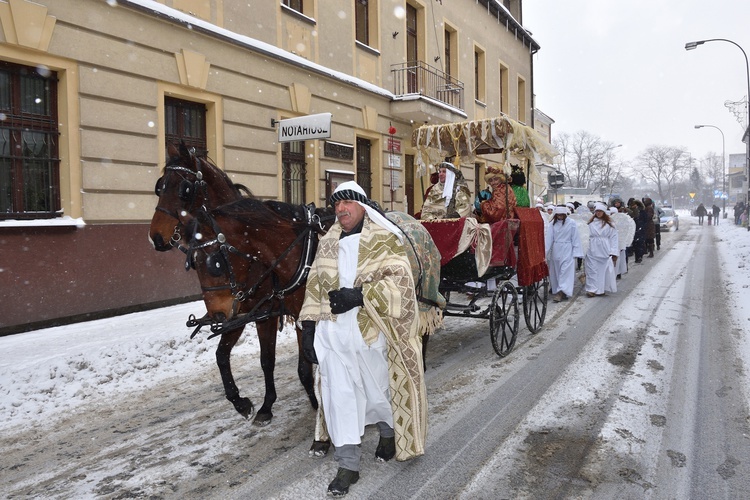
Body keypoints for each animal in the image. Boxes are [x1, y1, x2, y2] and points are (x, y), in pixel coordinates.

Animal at [149, 143, 320, 428]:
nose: (156, 237)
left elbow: (279, 360)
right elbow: (232, 356)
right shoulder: (239, 311)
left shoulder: (265, 313)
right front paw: (251, 404)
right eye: (160, 187)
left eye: (184, 189)